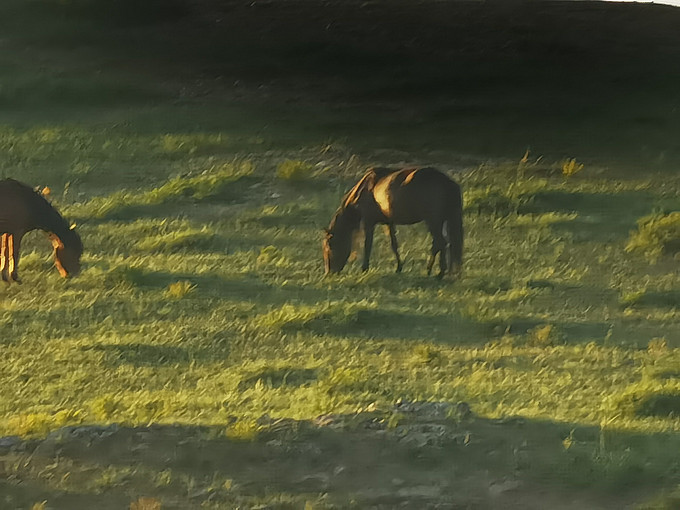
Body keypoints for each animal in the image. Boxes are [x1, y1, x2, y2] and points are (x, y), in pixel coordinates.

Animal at [322, 167, 462, 278]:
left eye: (329, 245)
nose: (329, 273)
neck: (366, 188)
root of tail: (446, 181)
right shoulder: (389, 223)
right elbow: (394, 244)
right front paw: (399, 267)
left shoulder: (368, 222)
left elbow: (368, 245)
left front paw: (364, 269)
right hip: (440, 221)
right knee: (443, 244)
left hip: (433, 221)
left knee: (440, 243)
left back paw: (435, 272)